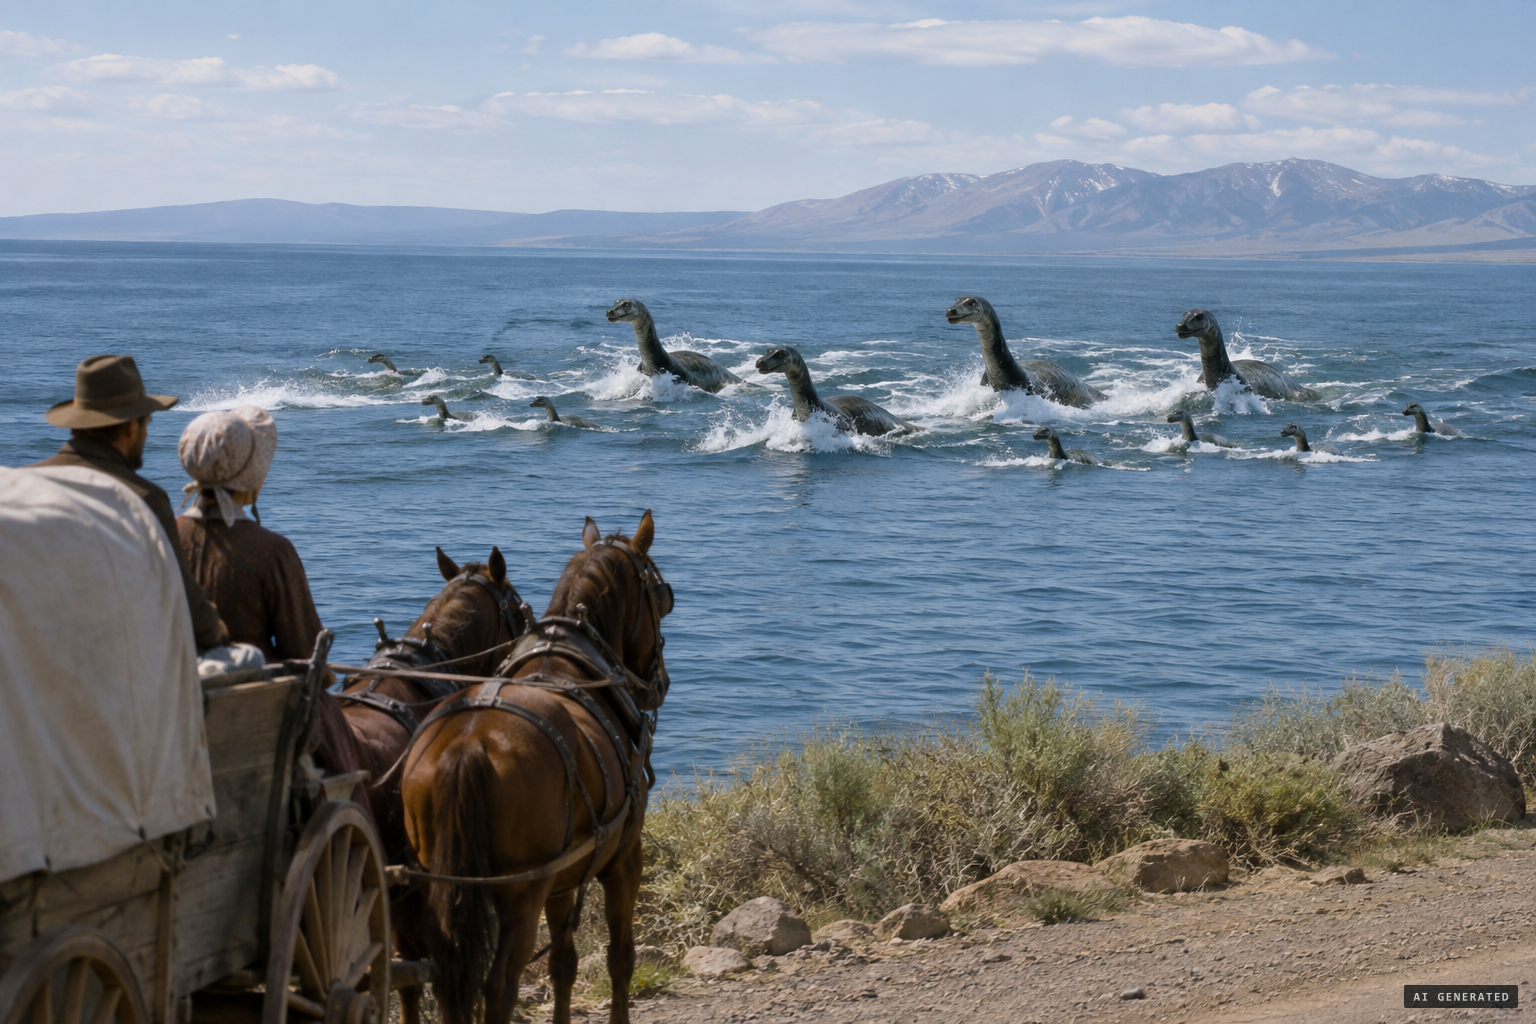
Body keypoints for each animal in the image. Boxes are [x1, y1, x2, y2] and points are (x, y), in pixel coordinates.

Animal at [401, 511, 672, 1024]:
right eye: (662, 599)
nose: (660, 682)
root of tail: (468, 745)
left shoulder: (564, 878)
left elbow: (563, 964)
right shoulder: (624, 859)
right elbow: (620, 957)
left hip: (439, 885)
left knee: (447, 978)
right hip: (521, 895)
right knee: (499, 985)